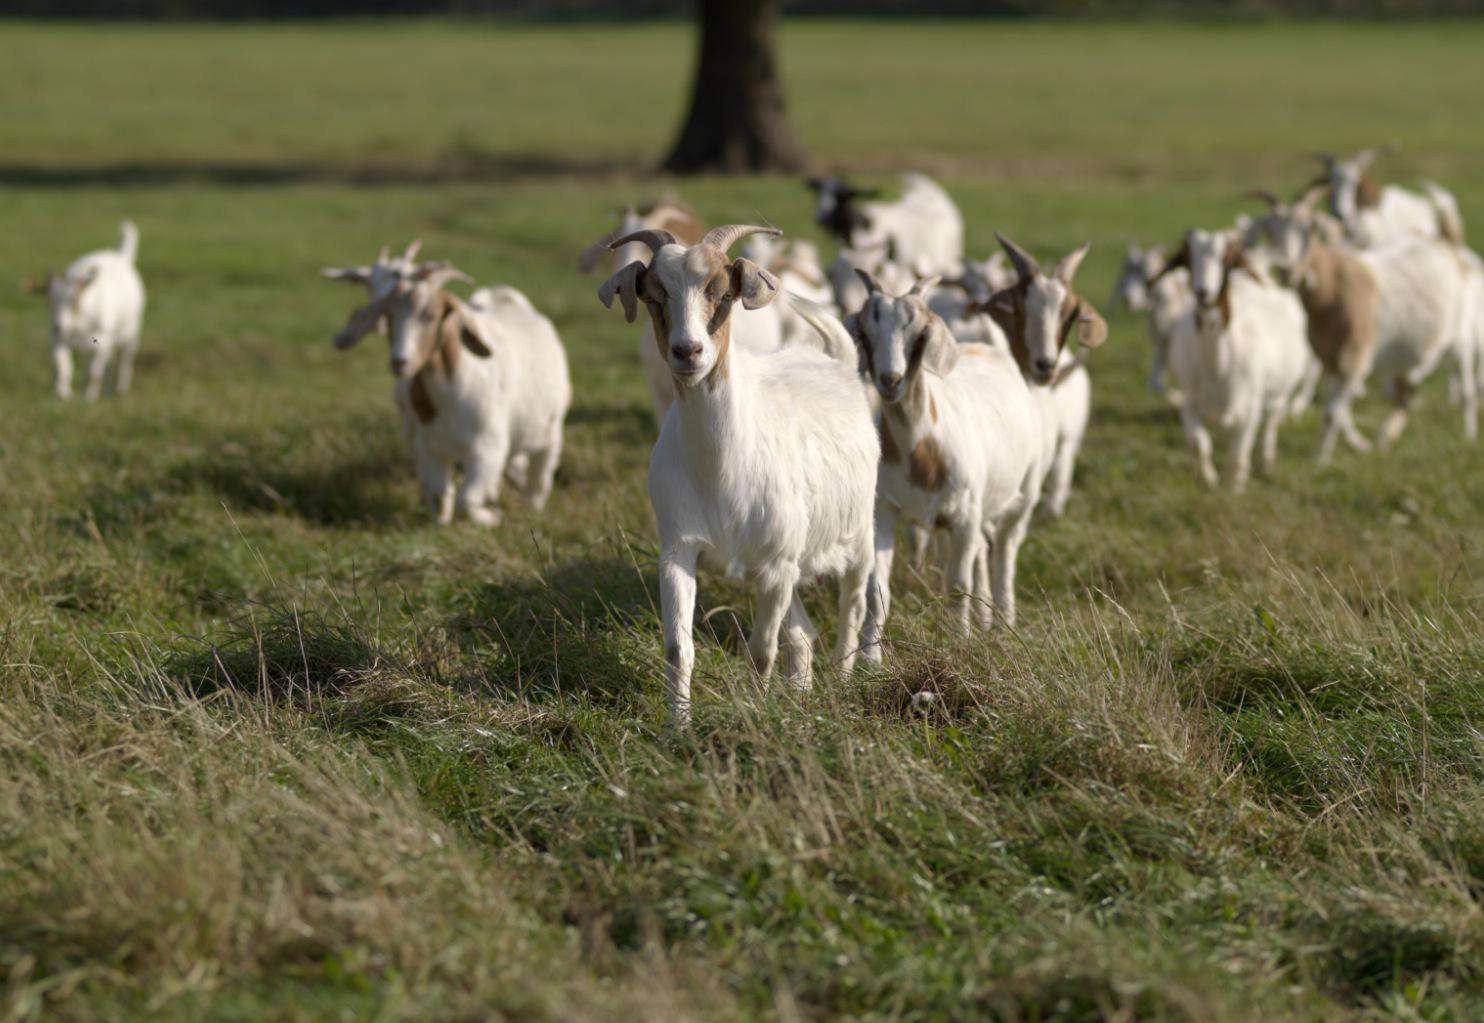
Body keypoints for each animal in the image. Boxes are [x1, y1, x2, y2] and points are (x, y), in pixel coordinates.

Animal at [24, 219, 143, 397]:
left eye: (74, 301)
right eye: (48, 302)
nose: (58, 326)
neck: (77, 324)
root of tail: (120, 257)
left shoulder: (103, 339)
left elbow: (93, 370)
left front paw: (90, 396)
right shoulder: (57, 339)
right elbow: (63, 365)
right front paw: (62, 393)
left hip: (131, 329)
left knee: (125, 357)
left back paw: (121, 388)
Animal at [333, 262, 569, 522]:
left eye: (430, 315)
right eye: (389, 315)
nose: (400, 362)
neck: (450, 392)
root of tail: (511, 303)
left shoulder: (487, 451)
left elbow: (466, 498)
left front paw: (491, 518)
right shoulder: (430, 449)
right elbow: (438, 492)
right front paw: (441, 519)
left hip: (550, 430)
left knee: (542, 472)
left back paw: (532, 507)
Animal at [593, 221, 872, 727]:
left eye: (723, 294)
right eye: (654, 297)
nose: (688, 351)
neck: (721, 471)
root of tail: (835, 360)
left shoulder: (776, 565)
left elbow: (761, 651)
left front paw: (756, 718)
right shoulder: (680, 550)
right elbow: (678, 648)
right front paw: (678, 726)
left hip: (857, 535)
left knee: (852, 608)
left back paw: (842, 681)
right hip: (789, 559)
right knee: (802, 632)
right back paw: (801, 694)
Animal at [854, 267, 1050, 659]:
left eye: (920, 334)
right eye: (866, 332)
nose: (890, 380)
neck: (920, 452)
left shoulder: (964, 517)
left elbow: (958, 585)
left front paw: (960, 641)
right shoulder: (883, 511)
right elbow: (876, 590)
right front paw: (869, 658)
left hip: (1022, 495)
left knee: (1004, 549)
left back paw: (1003, 619)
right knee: (982, 551)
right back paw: (986, 617)